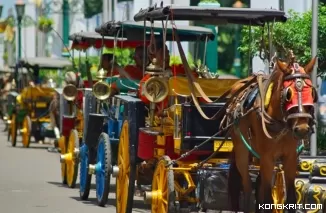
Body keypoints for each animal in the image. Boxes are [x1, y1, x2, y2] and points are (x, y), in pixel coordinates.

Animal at [225, 57, 318, 213]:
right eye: (288, 94)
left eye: (311, 93)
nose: (302, 129)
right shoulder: (267, 158)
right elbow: (267, 198)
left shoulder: (290, 157)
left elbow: (291, 199)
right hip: (242, 151)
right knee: (247, 186)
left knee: (258, 184)